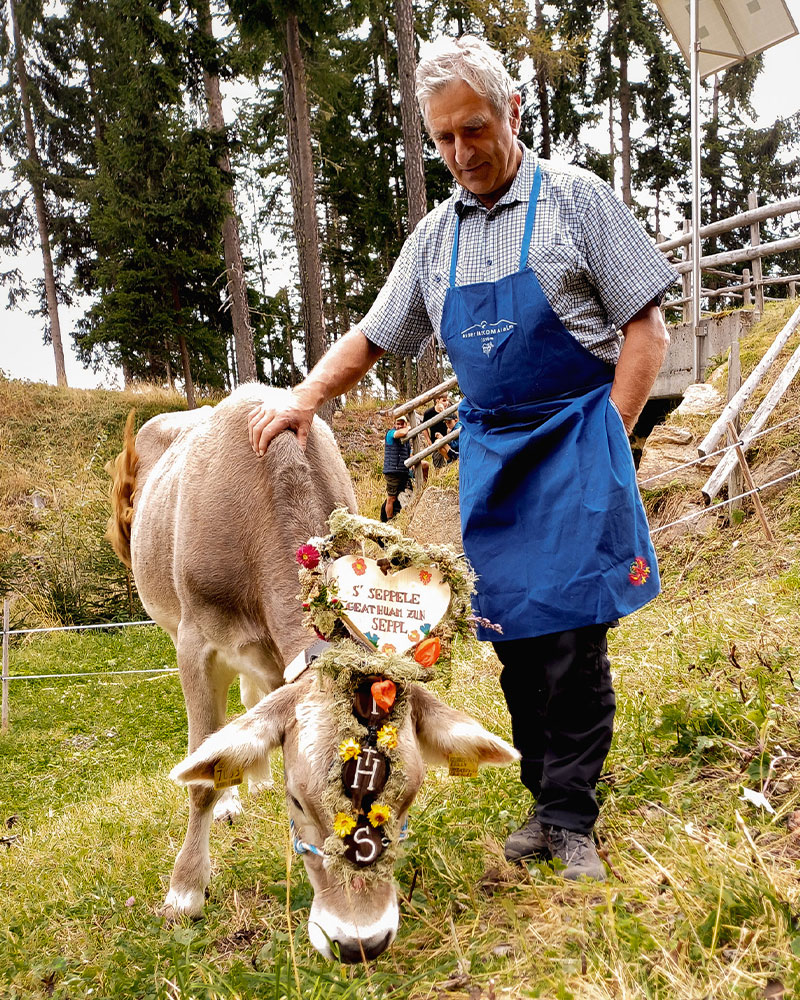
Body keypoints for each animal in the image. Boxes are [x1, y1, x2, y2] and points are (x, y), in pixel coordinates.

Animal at [108, 384, 520, 960]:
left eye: (410, 797)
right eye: (298, 800)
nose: (360, 942)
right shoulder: (196, 642)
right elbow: (200, 776)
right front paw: (184, 891)